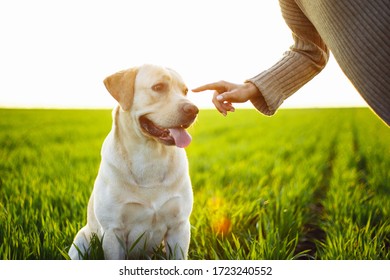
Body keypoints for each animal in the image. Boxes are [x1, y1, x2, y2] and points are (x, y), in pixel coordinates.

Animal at [68, 64, 198, 260]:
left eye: (185, 91)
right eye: (158, 87)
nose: (194, 110)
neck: (150, 155)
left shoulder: (179, 226)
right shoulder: (113, 231)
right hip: (80, 243)